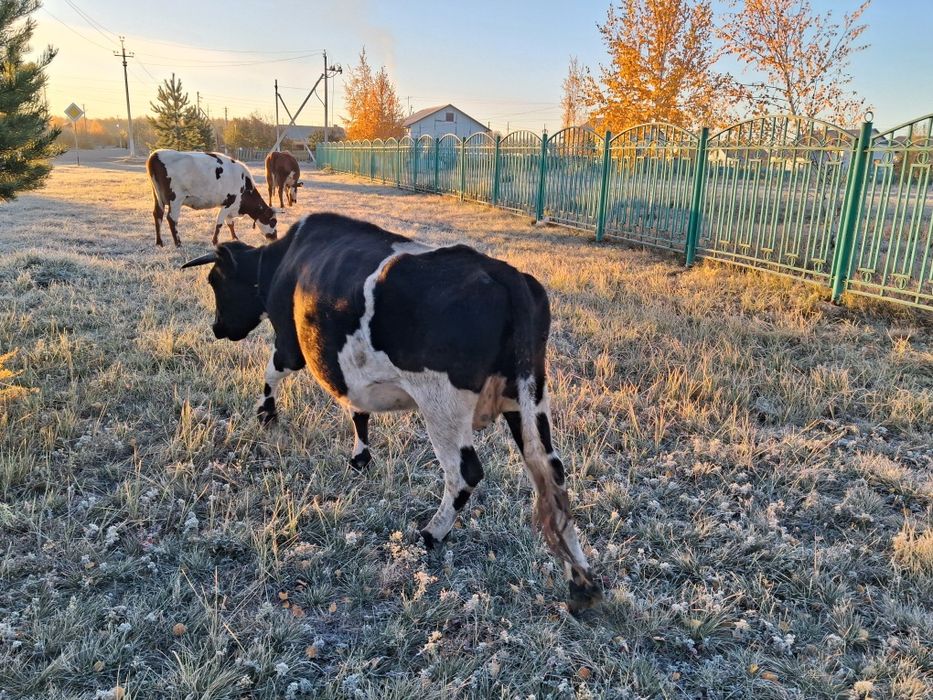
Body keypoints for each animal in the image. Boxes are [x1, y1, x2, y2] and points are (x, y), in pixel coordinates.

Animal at [146, 149, 278, 247]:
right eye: (273, 222)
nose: (275, 238)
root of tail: (156, 154)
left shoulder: (230, 207)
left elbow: (230, 223)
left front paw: (235, 238)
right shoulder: (228, 203)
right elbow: (219, 223)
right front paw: (215, 242)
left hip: (157, 196)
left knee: (158, 214)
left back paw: (159, 242)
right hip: (176, 199)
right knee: (171, 219)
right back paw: (178, 243)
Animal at [180, 213, 601, 613]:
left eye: (215, 280)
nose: (217, 328)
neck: (283, 259)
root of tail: (507, 276)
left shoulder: (289, 345)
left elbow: (271, 373)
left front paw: (266, 414)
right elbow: (357, 412)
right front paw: (360, 457)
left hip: (442, 405)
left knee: (465, 472)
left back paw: (432, 533)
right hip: (529, 398)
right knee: (551, 475)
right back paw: (581, 581)